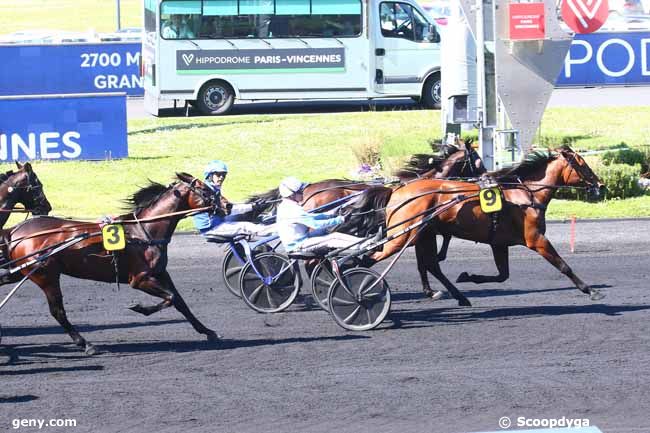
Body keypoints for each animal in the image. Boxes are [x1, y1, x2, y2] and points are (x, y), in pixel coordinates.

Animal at [2, 173, 221, 354]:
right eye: (205, 190)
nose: (226, 206)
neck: (143, 232)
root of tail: (16, 231)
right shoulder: (139, 279)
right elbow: (170, 297)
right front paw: (139, 308)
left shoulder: (160, 273)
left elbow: (180, 301)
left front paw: (208, 331)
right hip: (45, 275)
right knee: (58, 312)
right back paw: (86, 344)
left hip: (20, 271)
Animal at [372, 144, 604, 304]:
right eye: (583, 165)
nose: (601, 185)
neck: (526, 194)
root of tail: (396, 191)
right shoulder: (536, 239)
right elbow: (563, 266)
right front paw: (591, 290)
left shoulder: (499, 243)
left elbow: (502, 275)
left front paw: (468, 276)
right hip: (403, 235)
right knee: (376, 256)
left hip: (421, 234)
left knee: (430, 264)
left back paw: (458, 297)